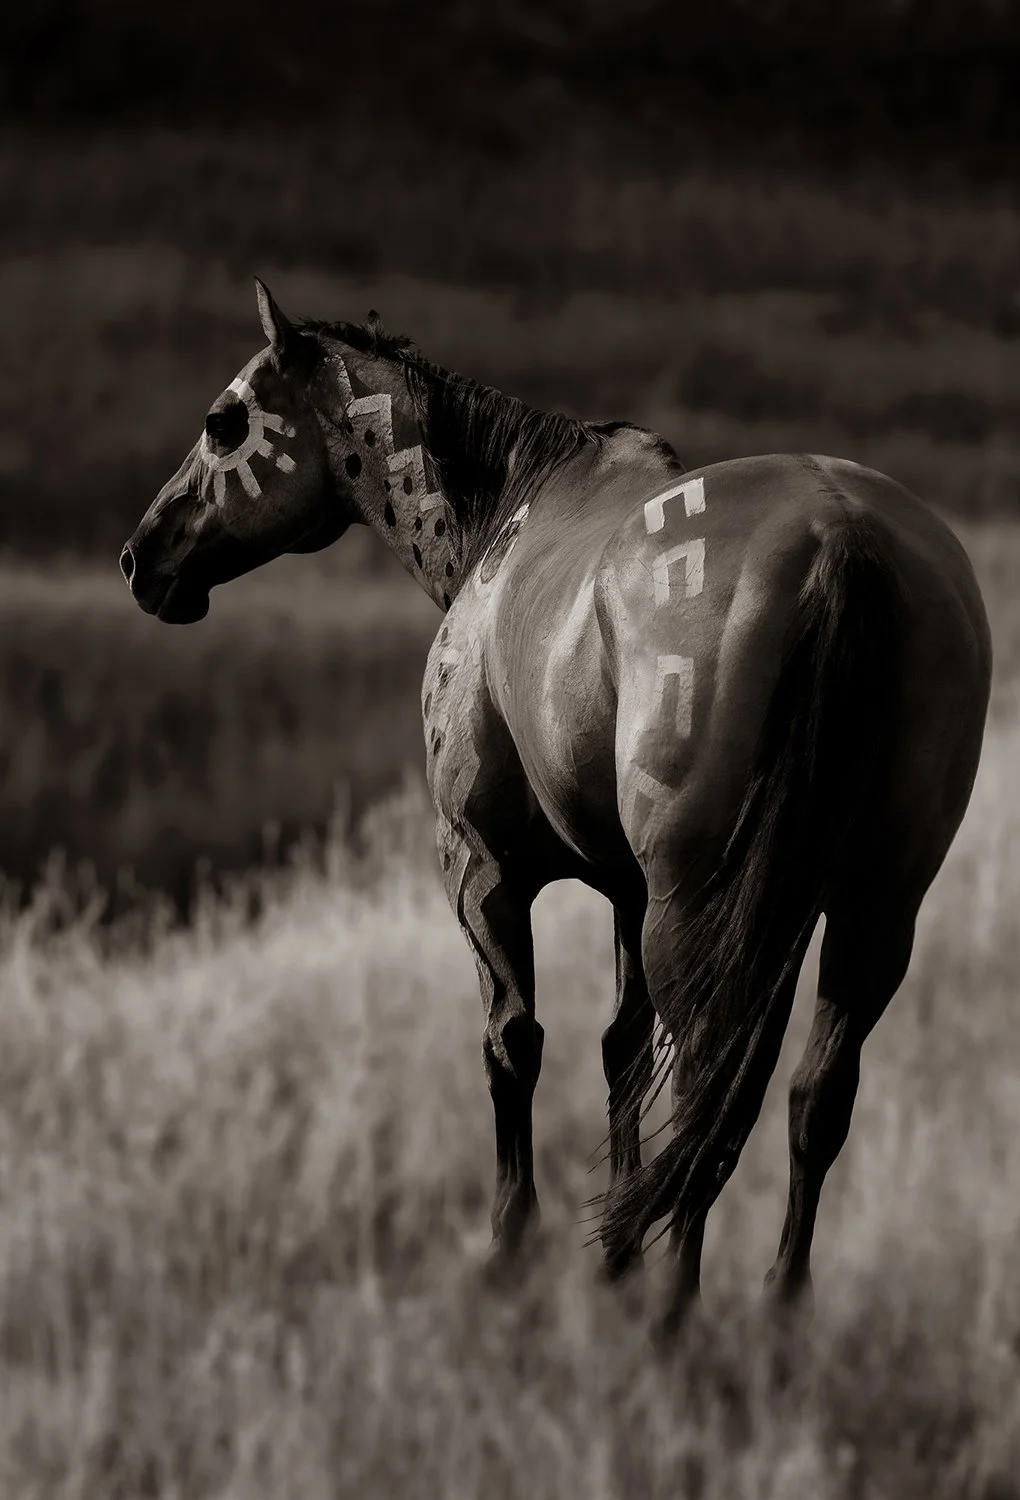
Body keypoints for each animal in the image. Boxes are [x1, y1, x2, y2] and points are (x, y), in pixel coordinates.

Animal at [121, 280, 992, 1337]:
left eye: (225, 422)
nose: (142, 558)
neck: (507, 517)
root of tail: (843, 542)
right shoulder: (630, 893)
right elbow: (622, 1052)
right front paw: (608, 1255)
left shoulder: (482, 867)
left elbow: (515, 1045)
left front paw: (513, 1251)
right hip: (870, 910)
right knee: (808, 1096)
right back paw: (777, 1309)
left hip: (707, 906)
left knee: (710, 1091)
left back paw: (674, 1313)